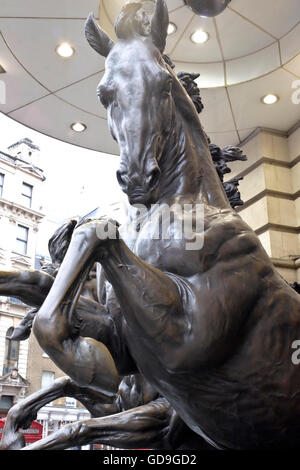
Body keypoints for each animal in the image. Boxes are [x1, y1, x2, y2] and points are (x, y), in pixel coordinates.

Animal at [12, 0, 300, 448]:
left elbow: (94, 232)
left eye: (164, 83)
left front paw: (86, 361)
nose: (136, 177)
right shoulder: (128, 346)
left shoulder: (187, 338)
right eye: (103, 92)